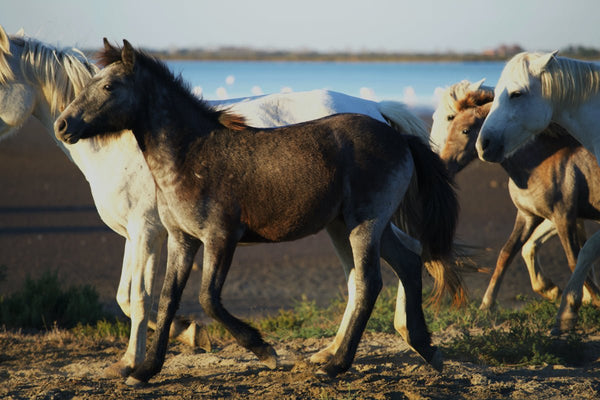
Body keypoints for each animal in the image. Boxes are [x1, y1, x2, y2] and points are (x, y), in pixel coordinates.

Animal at [0, 28, 438, 378]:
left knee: (369, 281)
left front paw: (261, 350)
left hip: (364, 224)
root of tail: (387, 124)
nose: (65, 124)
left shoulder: (205, 237)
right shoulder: (175, 238)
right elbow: (161, 298)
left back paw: (338, 364)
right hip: (347, 225)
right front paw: (145, 368)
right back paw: (415, 347)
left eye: (108, 87)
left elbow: (194, 298)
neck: (192, 154)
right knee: (399, 264)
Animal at [440, 90, 600, 310]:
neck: (538, 164)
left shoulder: (564, 217)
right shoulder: (527, 217)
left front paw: (592, 299)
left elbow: (575, 260)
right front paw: (487, 305)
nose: (442, 165)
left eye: (465, 130)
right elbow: (506, 254)